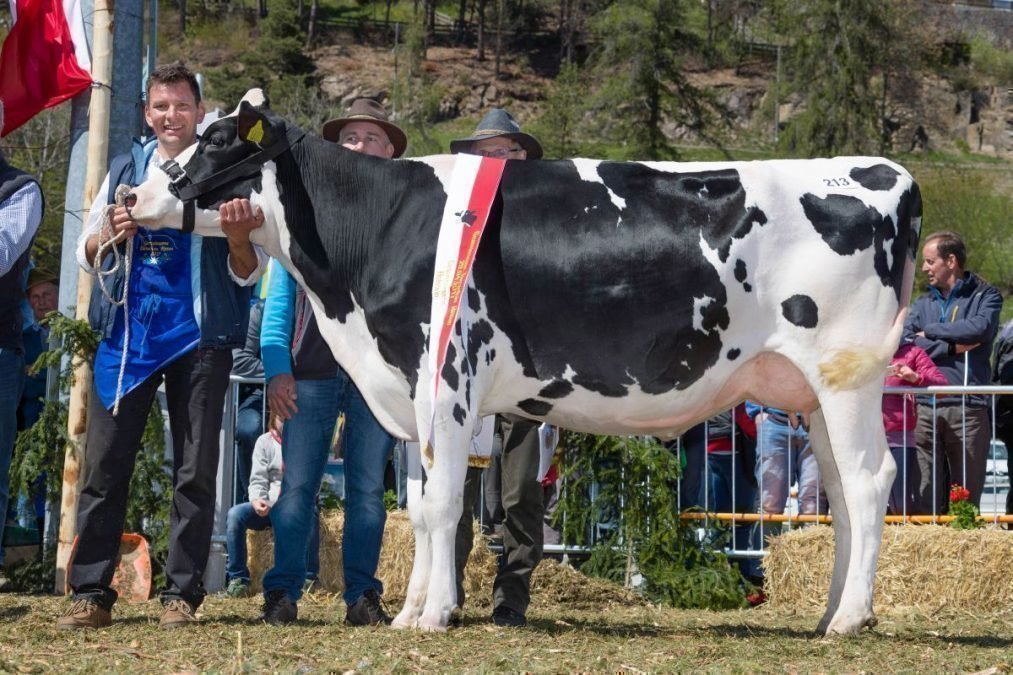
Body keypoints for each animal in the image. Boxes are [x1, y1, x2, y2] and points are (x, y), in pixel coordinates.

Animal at [126, 92, 919, 632]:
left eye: (217, 138)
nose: (135, 191)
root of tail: (882, 172)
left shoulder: (448, 378)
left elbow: (444, 504)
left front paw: (433, 614)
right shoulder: (412, 390)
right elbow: (422, 507)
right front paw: (411, 609)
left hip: (847, 374)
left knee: (867, 482)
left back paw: (850, 618)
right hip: (812, 393)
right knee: (840, 493)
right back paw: (830, 613)